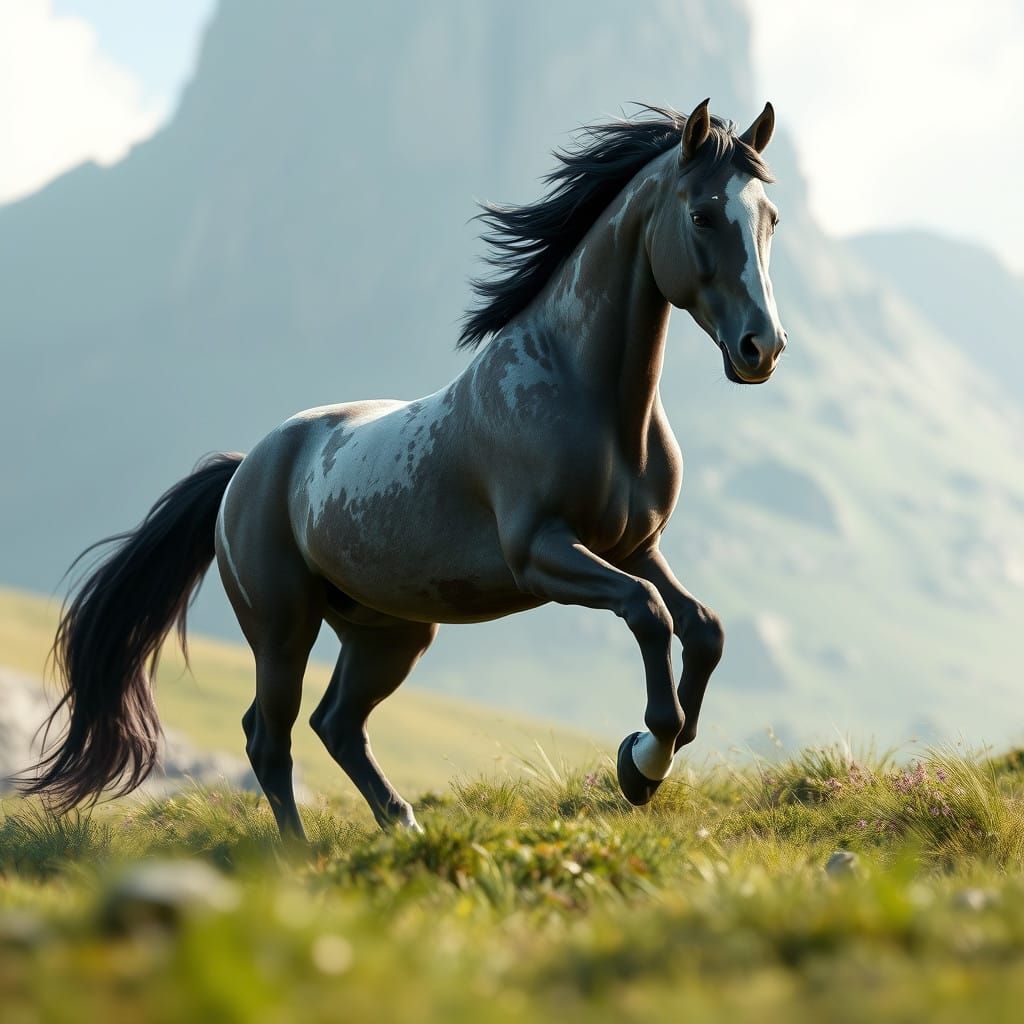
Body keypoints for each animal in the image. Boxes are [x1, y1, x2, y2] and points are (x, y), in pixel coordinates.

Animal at [23, 99, 786, 838]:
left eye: (770, 218)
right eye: (702, 213)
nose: (762, 347)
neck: (586, 396)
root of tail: (244, 470)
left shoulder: (635, 546)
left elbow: (704, 628)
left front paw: (655, 755)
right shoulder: (542, 553)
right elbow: (648, 612)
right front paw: (643, 760)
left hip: (387, 632)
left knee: (336, 724)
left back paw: (403, 824)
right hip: (282, 628)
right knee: (269, 737)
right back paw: (300, 857)